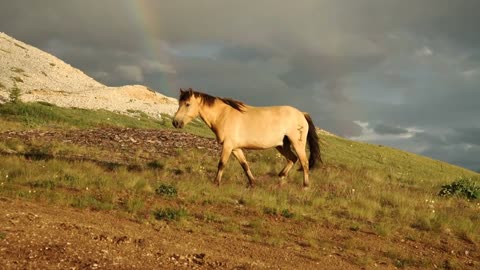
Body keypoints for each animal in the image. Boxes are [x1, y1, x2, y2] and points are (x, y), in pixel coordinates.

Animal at [172, 88, 322, 188]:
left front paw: (216, 183)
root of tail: (301, 114)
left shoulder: (228, 146)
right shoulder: (236, 148)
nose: (175, 123)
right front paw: (252, 183)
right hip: (281, 145)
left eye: (187, 104)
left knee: (304, 163)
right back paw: (280, 180)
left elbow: (221, 164)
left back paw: (305, 186)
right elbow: (244, 165)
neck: (223, 115)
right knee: (292, 159)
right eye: (180, 103)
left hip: (297, 144)